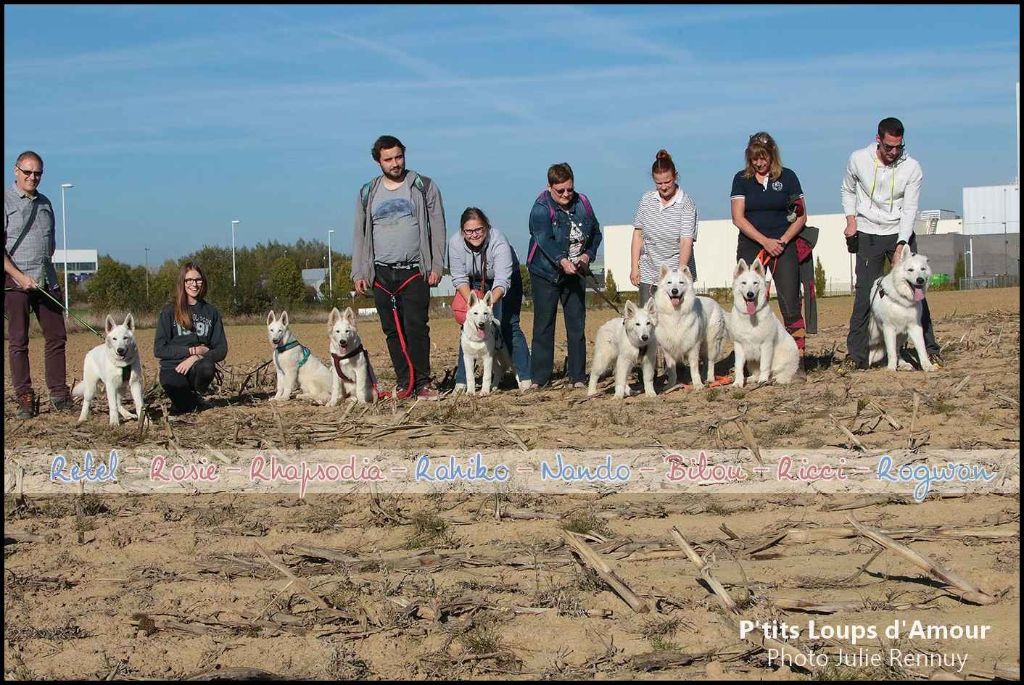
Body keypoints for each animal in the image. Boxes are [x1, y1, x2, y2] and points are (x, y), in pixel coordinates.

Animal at [724, 258, 802, 387]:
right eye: (744, 283)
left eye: (755, 283)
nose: (750, 294)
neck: (750, 318)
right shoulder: (739, 345)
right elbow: (738, 367)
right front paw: (738, 382)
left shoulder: (766, 345)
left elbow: (765, 366)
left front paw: (763, 380)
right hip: (751, 362)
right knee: (756, 373)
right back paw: (751, 379)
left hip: (784, 358)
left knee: (781, 373)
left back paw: (774, 379)